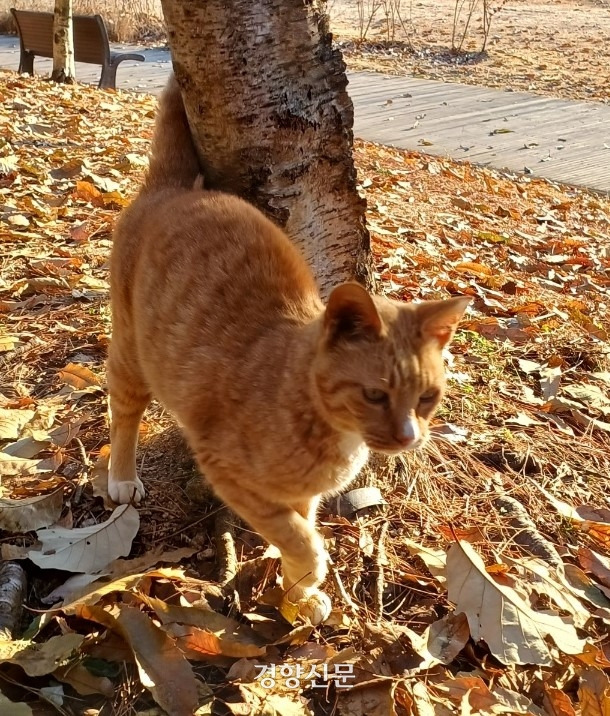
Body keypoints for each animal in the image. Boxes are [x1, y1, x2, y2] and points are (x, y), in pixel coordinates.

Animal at [107, 77, 468, 620]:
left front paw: (298, 596)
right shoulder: (229, 472)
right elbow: (304, 541)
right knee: (123, 412)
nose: (408, 437)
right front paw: (309, 576)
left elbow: (298, 532)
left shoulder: (302, 496)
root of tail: (173, 190)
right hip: (131, 354)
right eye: (375, 394)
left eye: (427, 398)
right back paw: (121, 476)